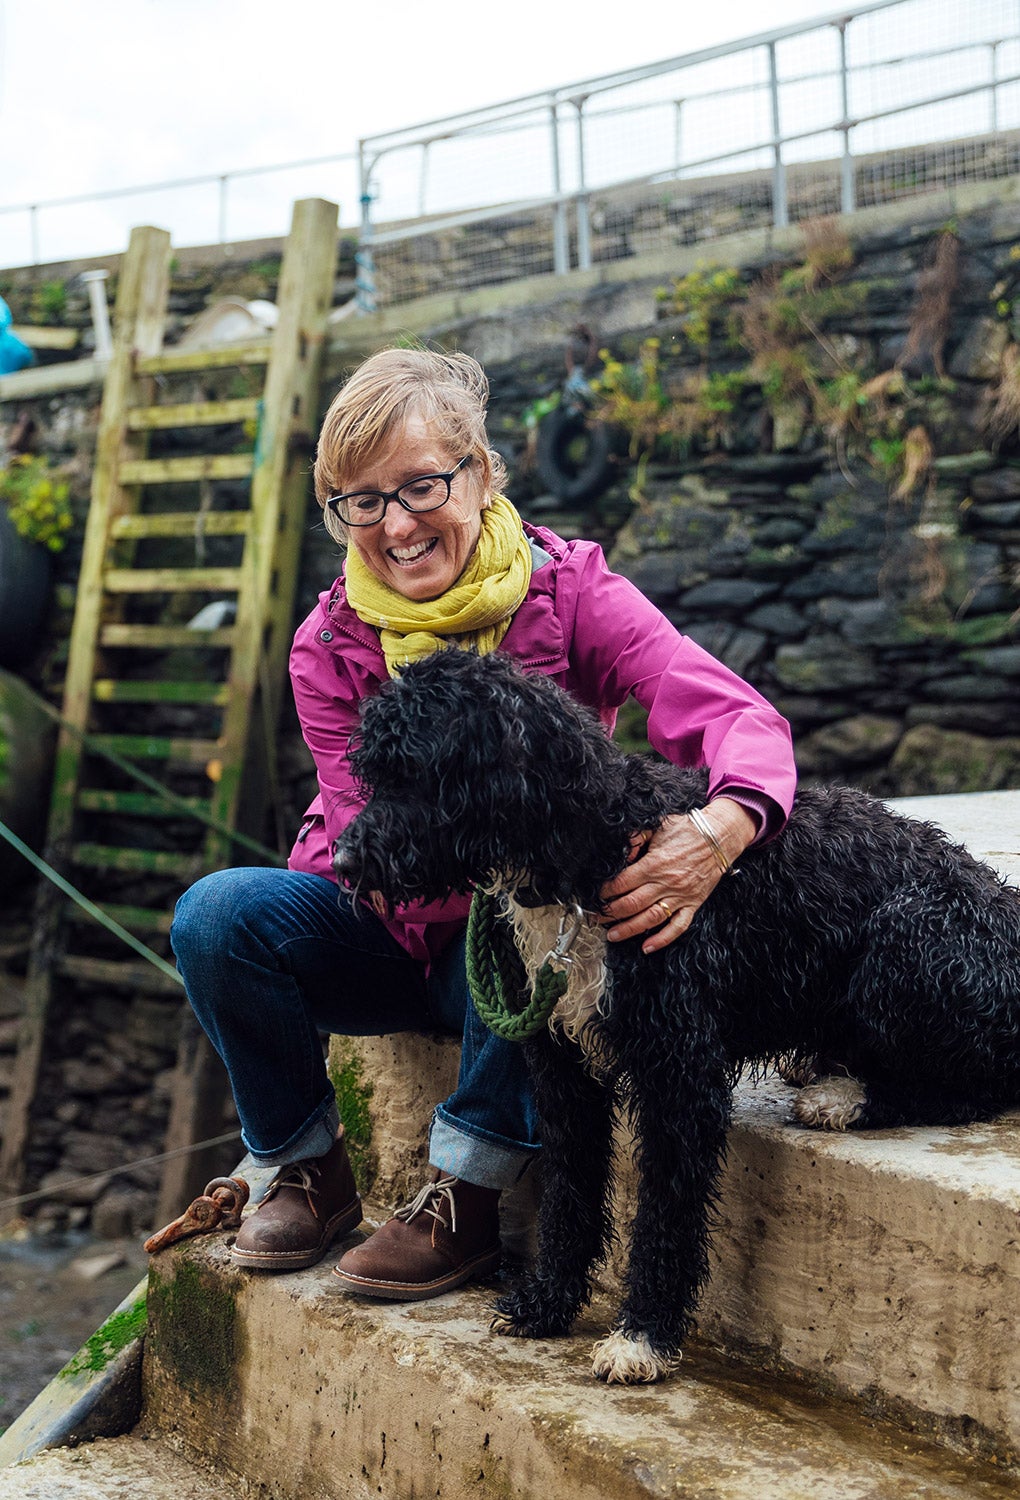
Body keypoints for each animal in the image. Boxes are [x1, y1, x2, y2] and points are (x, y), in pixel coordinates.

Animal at [334, 651, 1020, 1386]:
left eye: (419, 772)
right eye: (376, 773)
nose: (342, 860)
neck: (593, 856)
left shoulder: (679, 1073)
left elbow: (666, 1209)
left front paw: (644, 1335)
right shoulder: (563, 1070)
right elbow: (570, 1192)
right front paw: (549, 1302)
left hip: (907, 938)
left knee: (972, 1086)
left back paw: (846, 1096)